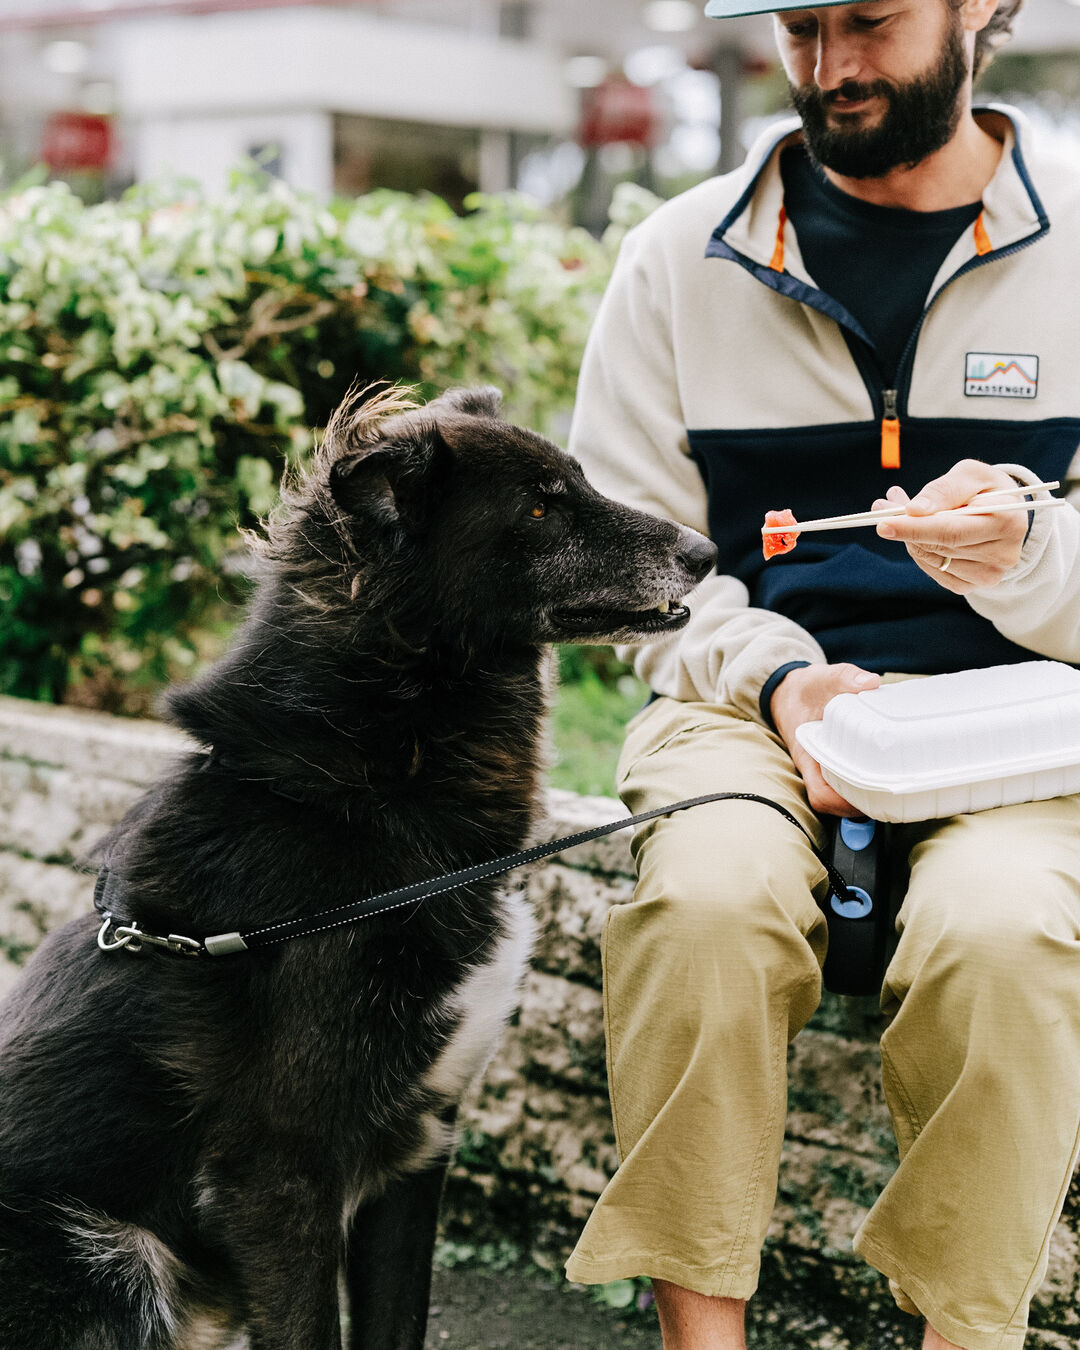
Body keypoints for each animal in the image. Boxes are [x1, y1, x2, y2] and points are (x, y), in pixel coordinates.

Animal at [0, 386, 718, 1344]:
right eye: (539, 508)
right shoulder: (278, 1179)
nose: (706, 553)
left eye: (580, 481)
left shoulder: (418, 1152)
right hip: (111, 1254)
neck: (367, 800)